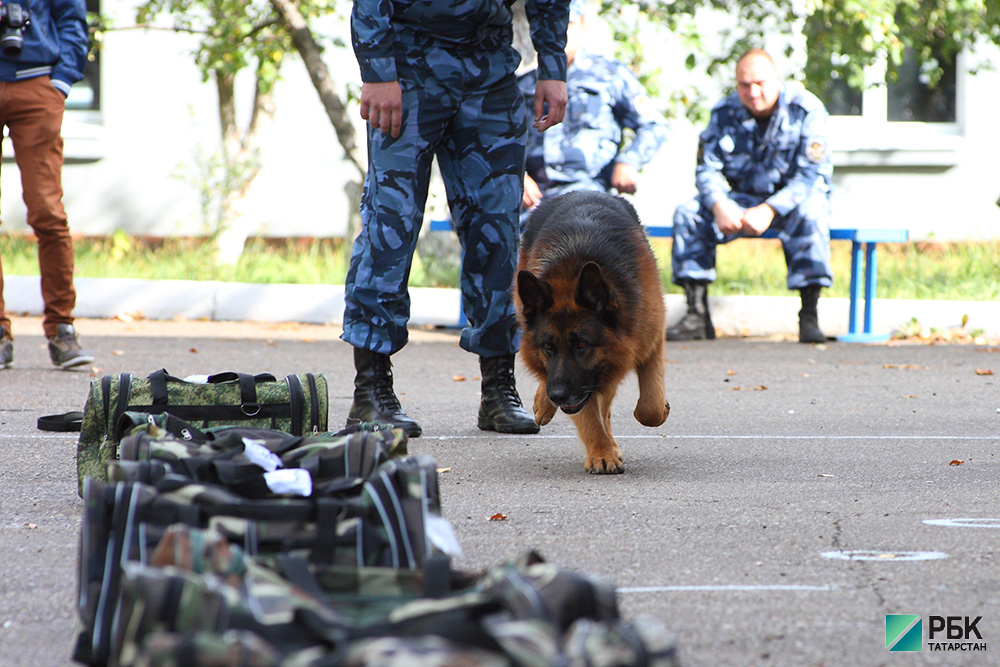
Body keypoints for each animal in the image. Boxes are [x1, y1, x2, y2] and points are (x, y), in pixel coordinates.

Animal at [516, 189, 672, 474]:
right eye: (548, 346)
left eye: (581, 345)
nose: (556, 396)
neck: (573, 268)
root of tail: (581, 189)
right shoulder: (577, 385)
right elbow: (588, 416)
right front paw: (601, 454)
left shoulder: (650, 341)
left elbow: (651, 407)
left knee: (606, 405)